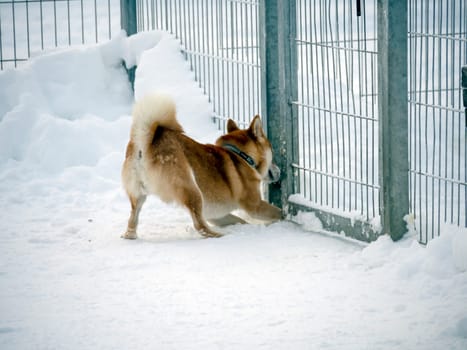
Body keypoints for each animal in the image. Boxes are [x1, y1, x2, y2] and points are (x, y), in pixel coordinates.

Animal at [121, 91, 282, 239]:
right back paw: (218, 235)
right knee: (200, 226)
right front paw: (285, 216)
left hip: (138, 195)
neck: (241, 156)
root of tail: (144, 143)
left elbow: (239, 220)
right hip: (192, 189)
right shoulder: (254, 205)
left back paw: (130, 235)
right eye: (273, 152)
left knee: (132, 219)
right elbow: (278, 213)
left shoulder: (216, 214)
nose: (279, 171)